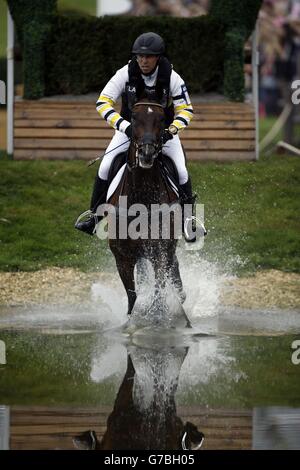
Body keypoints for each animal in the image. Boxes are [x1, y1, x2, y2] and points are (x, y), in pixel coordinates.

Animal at [103, 99, 188, 326]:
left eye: (161, 118)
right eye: (133, 118)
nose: (147, 153)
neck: (142, 196)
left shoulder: (160, 252)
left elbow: (158, 291)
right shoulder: (123, 258)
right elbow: (133, 297)